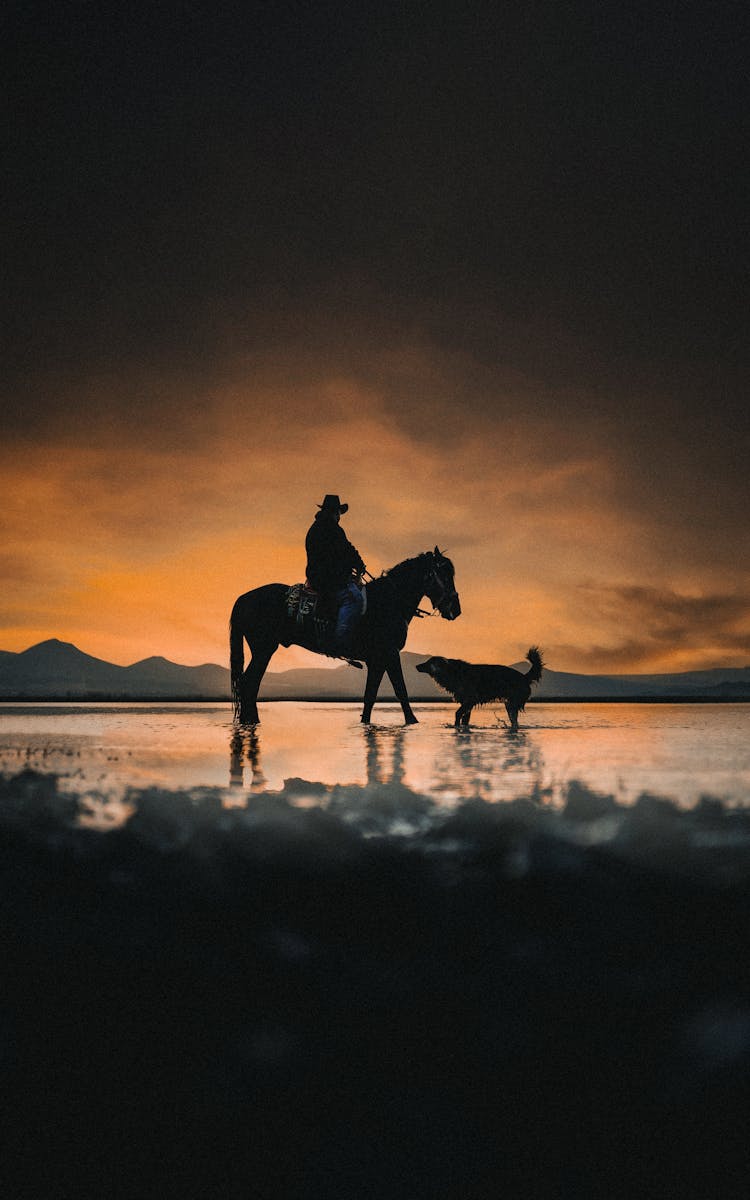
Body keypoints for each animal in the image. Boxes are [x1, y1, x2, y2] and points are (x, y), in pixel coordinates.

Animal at [231, 549, 458, 724]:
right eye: (445, 575)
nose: (455, 609)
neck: (389, 602)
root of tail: (243, 598)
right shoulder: (390, 654)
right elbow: (400, 690)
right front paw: (412, 721)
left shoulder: (377, 660)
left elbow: (370, 696)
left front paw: (365, 723)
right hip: (264, 649)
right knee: (249, 683)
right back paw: (251, 721)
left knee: (249, 684)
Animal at [415, 648, 544, 729]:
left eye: (428, 662)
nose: (416, 666)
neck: (451, 672)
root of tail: (524, 676)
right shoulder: (466, 703)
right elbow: (464, 719)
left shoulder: (470, 700)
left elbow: (457, 714)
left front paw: (455, 726)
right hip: (509, 704)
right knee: (514, 721)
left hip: (513, 703)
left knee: (514, 720)